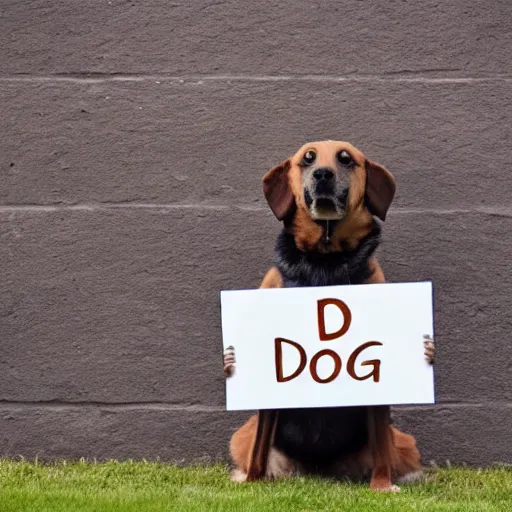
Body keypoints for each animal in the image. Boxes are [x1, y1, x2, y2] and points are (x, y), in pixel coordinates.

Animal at [222, 140, 434, 492]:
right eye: (307, 159)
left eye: (345, 159)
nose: (323, 174)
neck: (325, 260)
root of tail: (318, 470)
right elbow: (258, 450)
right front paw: (252, 481)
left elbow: (382, 448)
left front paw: (381, 487)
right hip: (243, 433)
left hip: (402, 440)